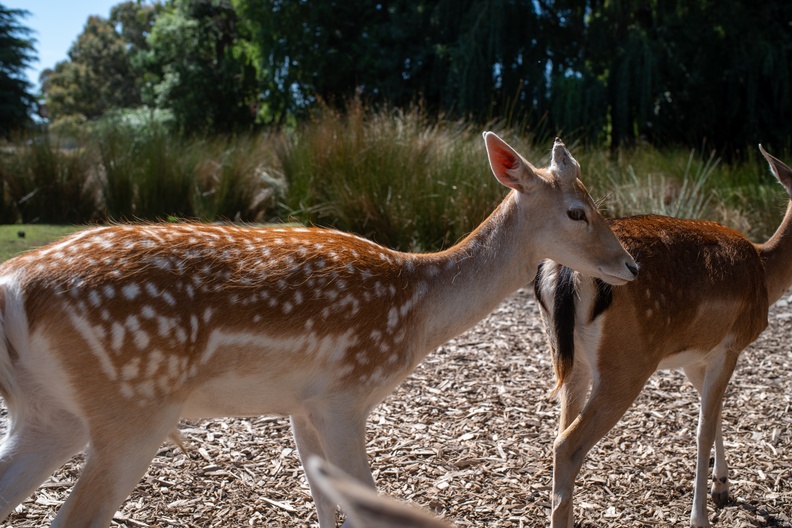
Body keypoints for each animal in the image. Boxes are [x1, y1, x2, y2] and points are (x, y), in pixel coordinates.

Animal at [0, 133, 636, 528]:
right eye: (577, 211)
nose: (630, 265)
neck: (416, 310)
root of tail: (13, 286)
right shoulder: (343, 396)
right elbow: (367, 509)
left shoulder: (300, 406)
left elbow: (327, 508)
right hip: (132, 409)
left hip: (48, 415)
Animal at [532, 145, 792, 528]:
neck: (766, 275)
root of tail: (564, 271)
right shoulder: (730, 345)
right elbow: (702, 428)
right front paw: (700, 517)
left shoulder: (694, 355)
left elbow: (714, 415)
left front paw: (722, 488)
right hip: (627, 363)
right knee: (567, 444)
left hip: (566, 357)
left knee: (559, 431)